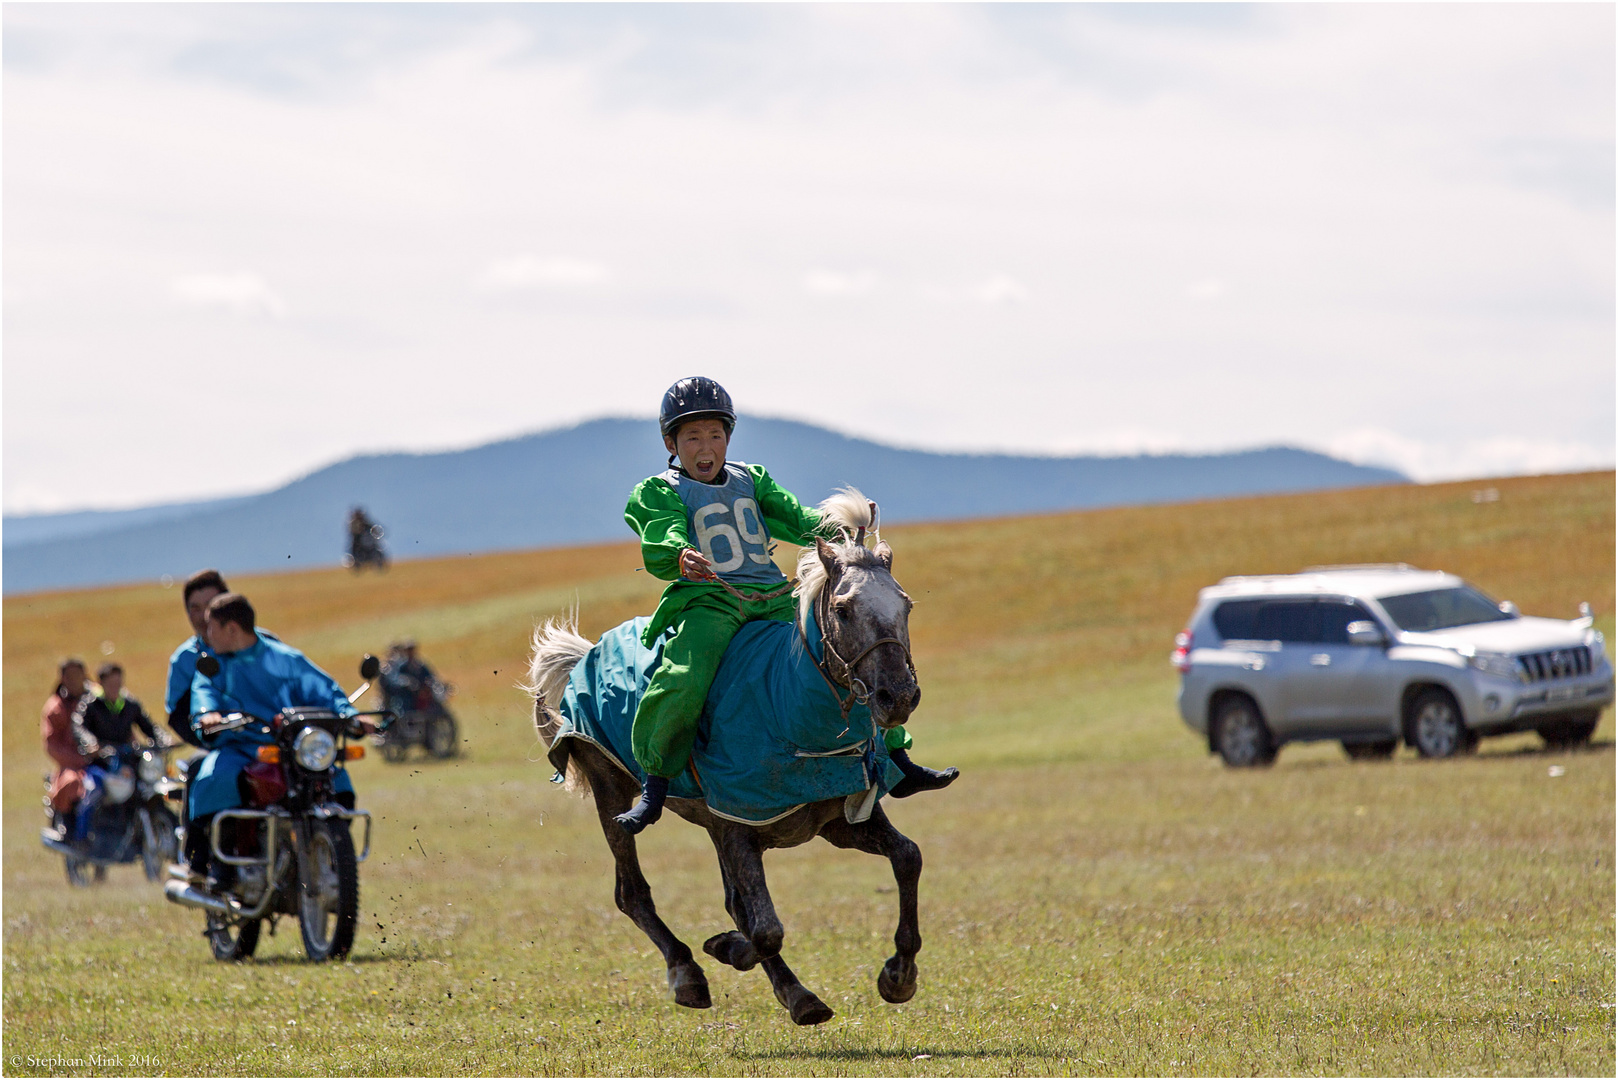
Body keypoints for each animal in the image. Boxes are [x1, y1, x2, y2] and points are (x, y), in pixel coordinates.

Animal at [524, 495, 931, 1029]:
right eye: (843, 610)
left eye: (905, 605)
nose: (898, 697)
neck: (786, 707)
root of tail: (587, 653)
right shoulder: (738, 826)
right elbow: (765, 930)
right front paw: (741, 959)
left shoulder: (837, 821)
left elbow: (907, 857)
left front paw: (899, 975)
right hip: (612, 789)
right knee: (632, 892)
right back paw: (688, 972)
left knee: (731, 901)